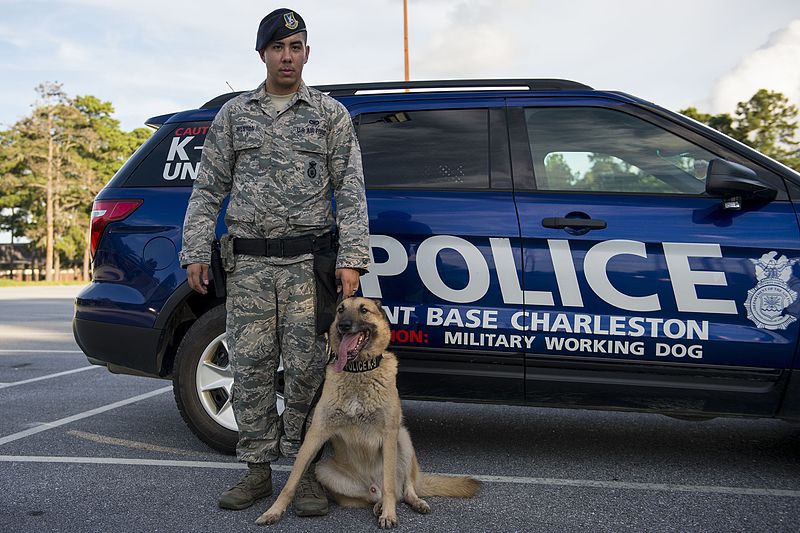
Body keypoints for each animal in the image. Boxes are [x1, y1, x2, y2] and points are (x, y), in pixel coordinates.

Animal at [260, 298, 478, 524]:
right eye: (341, 310)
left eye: (364, 310)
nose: (343, 325)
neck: (359, 370)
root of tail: (374, 486)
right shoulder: (315, 433)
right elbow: (292, 479)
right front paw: (273, 510)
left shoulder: (389, 434)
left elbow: (390, 484)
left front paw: (389, 514)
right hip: (325, 470)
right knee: (376, 497)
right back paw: (379, 505)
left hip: (403, 439)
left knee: (403, 489)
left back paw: (412, 502)